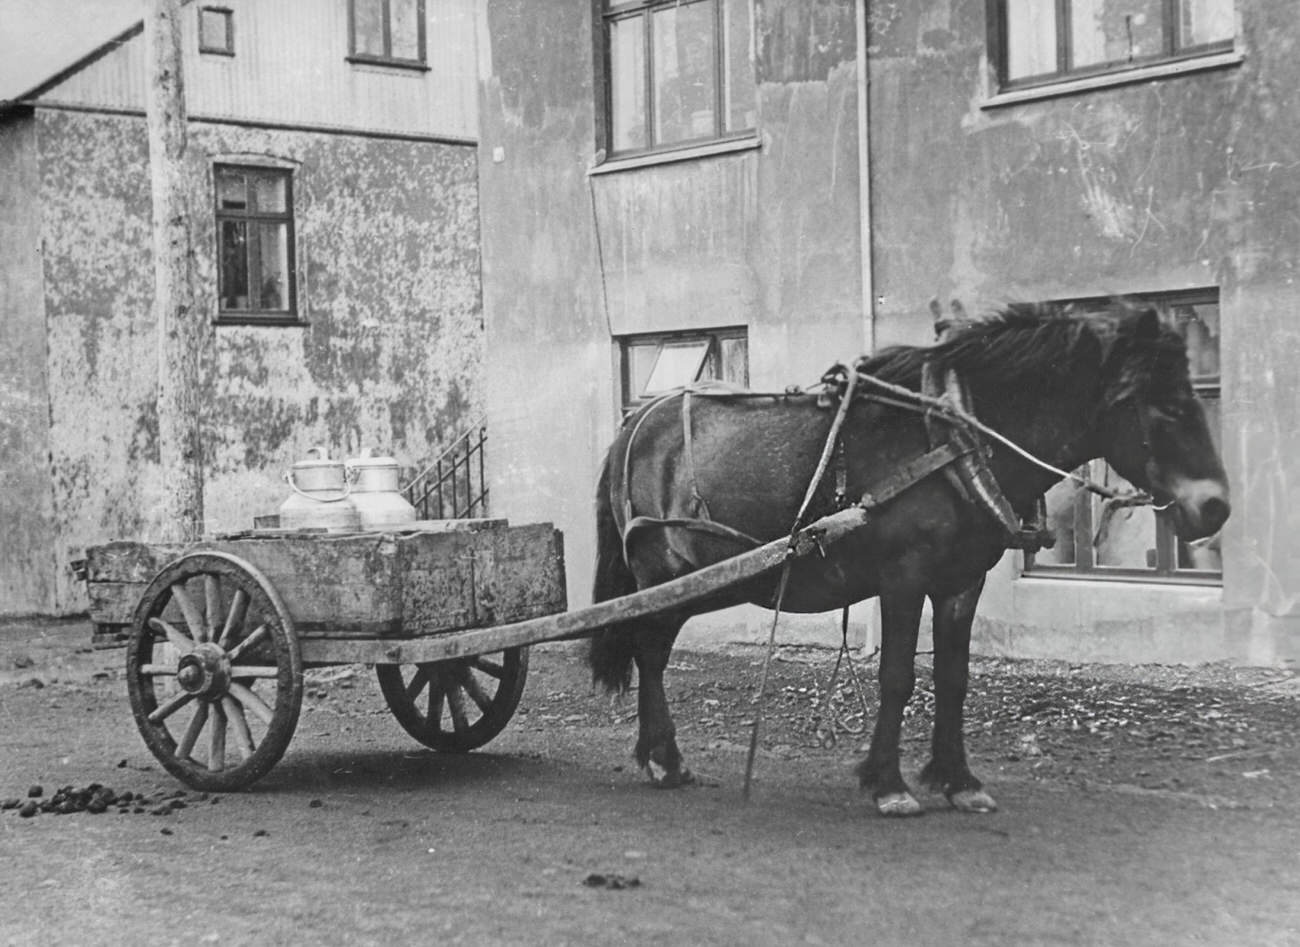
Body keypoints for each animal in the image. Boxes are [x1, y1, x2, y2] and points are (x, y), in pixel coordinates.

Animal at [587, 301, 1227, 811]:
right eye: (1163, 406)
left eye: (1194, 395)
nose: (1216, 508)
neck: (955, 439)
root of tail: (636, 421)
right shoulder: (903, 577)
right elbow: (897, 677)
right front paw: (888, 784)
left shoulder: (961, 582)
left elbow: (952, 677)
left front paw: (958, 780)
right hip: (662, 574)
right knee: (650, 653)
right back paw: (664, 758)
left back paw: (657, 755)